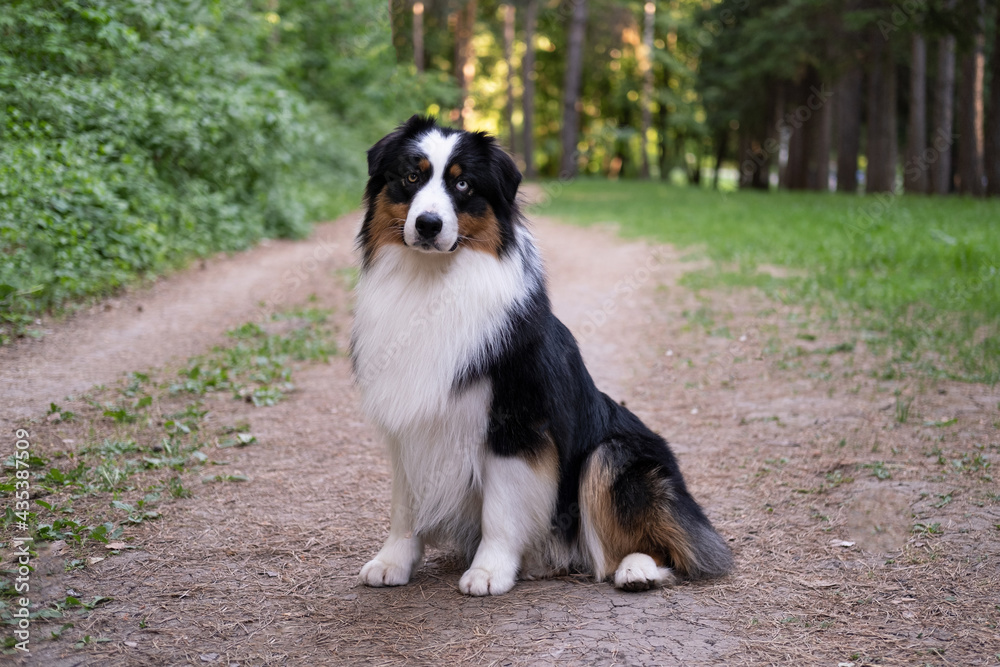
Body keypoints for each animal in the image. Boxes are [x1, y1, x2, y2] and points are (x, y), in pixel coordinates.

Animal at [354, 116, 736, 600]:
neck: (431, 284)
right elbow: (404, 505)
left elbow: (501, 508)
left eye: (462, 184)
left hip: (616, 453)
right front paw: (393, 561)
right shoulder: (406, 420)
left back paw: (636, 570)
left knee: (650, 546)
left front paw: (489, 570)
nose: (427, 224)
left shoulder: (517, 419)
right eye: (410, 177)